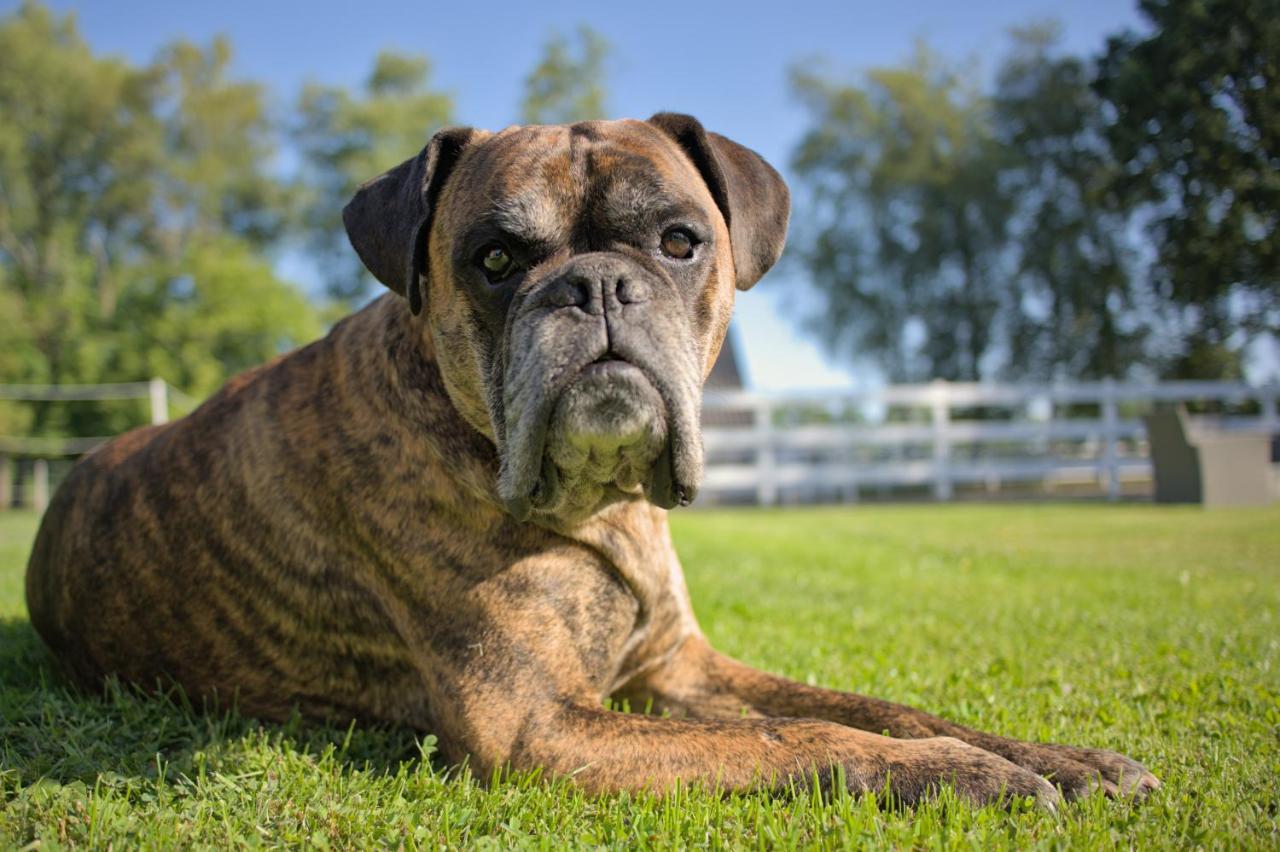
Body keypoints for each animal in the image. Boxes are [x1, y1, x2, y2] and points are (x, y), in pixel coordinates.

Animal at [24, 112, 1157, 803]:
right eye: (493, 259)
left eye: (678, 242)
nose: (597, 285)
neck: (596, 503)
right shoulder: (539, 725)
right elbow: (794, 737)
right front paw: (963, 775)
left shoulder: (684, 669)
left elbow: (866, 705)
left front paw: (1062, 758)